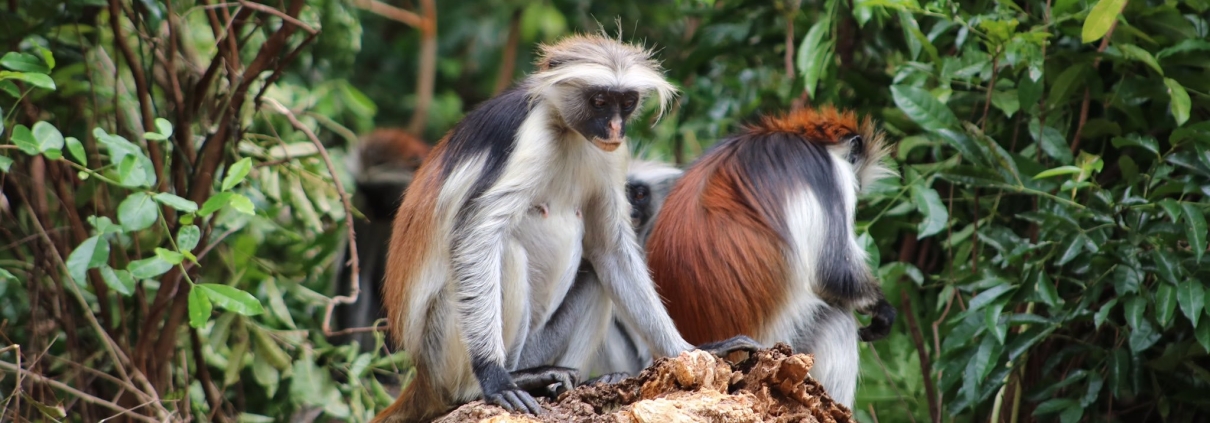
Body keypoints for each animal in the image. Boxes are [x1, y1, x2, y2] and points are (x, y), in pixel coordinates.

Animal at [373, 34, 759, 423]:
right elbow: (476, 237)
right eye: (599, 101)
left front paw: (694, 350)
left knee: (597, 277)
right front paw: (493, 376)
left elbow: (610, 250)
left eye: (627, 103)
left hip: (536, 344)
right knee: (503, 251)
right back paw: (505, 380)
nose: (615, 128)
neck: (567, 129)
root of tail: (424, 377)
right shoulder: (531, 134)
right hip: (444, 348)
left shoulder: (611, 153)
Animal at [644, 106, 897, 408]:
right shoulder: (829, 176)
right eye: (856, 173)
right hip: (782, 340)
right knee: (837, 320)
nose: (858, 185)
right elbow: (834, 273)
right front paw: (882, 308)